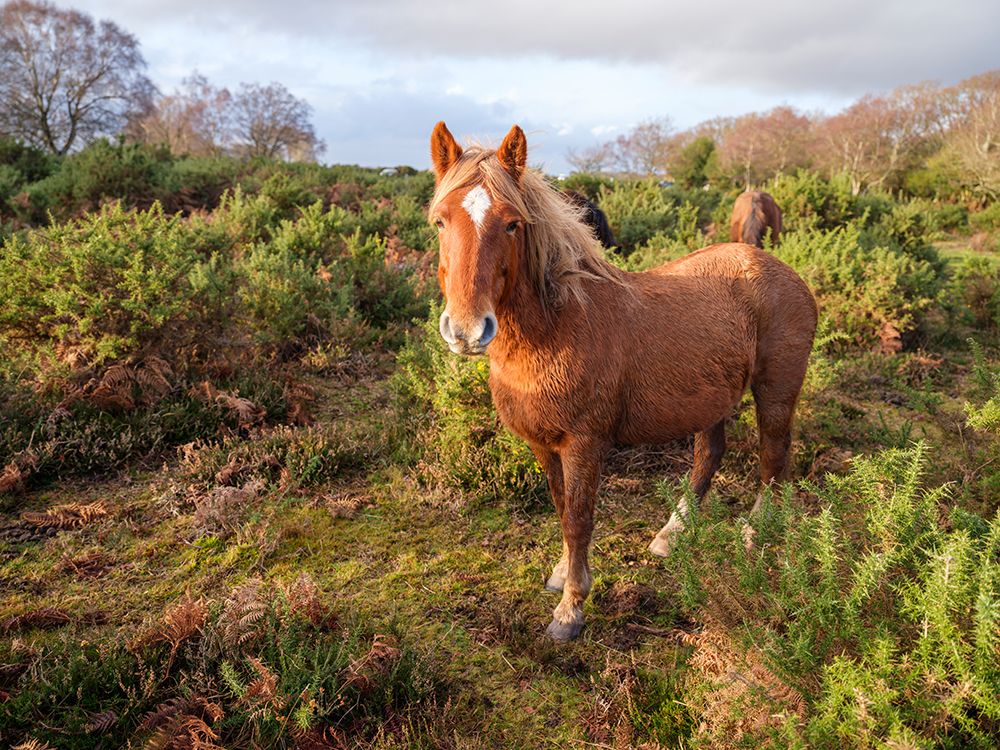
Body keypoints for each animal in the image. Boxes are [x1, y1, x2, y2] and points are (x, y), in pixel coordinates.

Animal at [429, 122, 817, 641]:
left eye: (512, 223)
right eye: (440, 222)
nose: (468, 330)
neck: (557, 327)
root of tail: (781, 270)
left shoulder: (584, 444)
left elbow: (578, 518)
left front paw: (571, 609)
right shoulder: (541, 444)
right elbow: (561, 508)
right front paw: (562, 574)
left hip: (775, 391)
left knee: (773, 459)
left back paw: (754, 533)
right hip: (713, 398)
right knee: (709, 455)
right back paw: (672, 534)